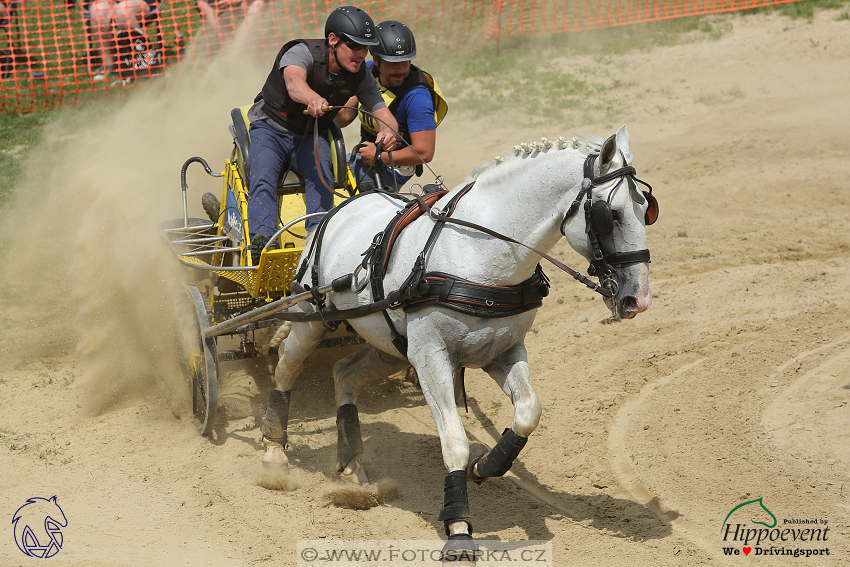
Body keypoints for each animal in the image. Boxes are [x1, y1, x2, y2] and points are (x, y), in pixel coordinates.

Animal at [262, 125, 652, 544]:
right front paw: (458, 524)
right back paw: (273, 453)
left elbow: (529, 411)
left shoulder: (504, 350)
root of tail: (338, 209)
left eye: (648, 208)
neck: (481, 254)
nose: (639, 298)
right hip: (312, 317)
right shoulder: (431, 357)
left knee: (344, 374)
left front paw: (488, 466)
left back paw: (351, 465)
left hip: (391, 345)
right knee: (286, 367)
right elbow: (454, 441)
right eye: (610, 214)